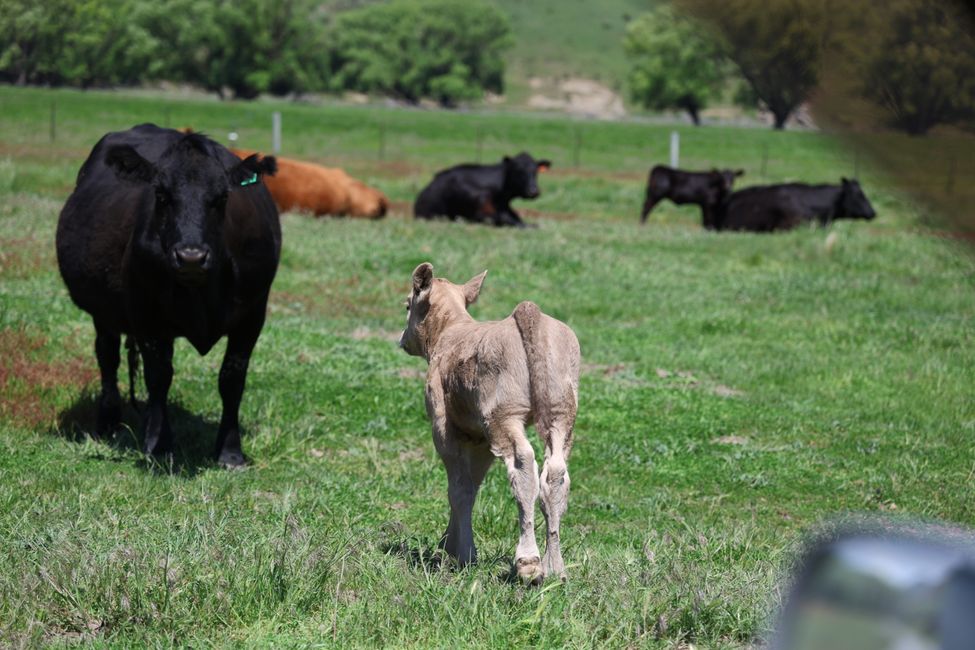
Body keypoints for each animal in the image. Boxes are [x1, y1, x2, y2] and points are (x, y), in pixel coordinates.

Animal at [55, 123, 280, 466]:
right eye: (161, 195)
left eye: (222, 197)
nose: (191, 256)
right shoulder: (148, 315)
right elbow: (159, 377)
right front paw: (160, 447)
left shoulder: (252, 316)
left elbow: (231, 380)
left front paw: (230, 452)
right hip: (104, 312)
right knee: (108, 356)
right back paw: (109, 422)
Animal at [398, 264, 580, 584]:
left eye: (408, 305)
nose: (402, 340)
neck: (451, 331)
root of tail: (529, 312)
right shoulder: (479, 437)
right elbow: (472, 483)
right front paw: (451, 542)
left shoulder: (444, 426)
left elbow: (459, 488)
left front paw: (462, 553)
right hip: (561, 410)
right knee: (555, 473)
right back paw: (555, 567)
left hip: (503, 413)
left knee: (523, 463)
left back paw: (529, 563)